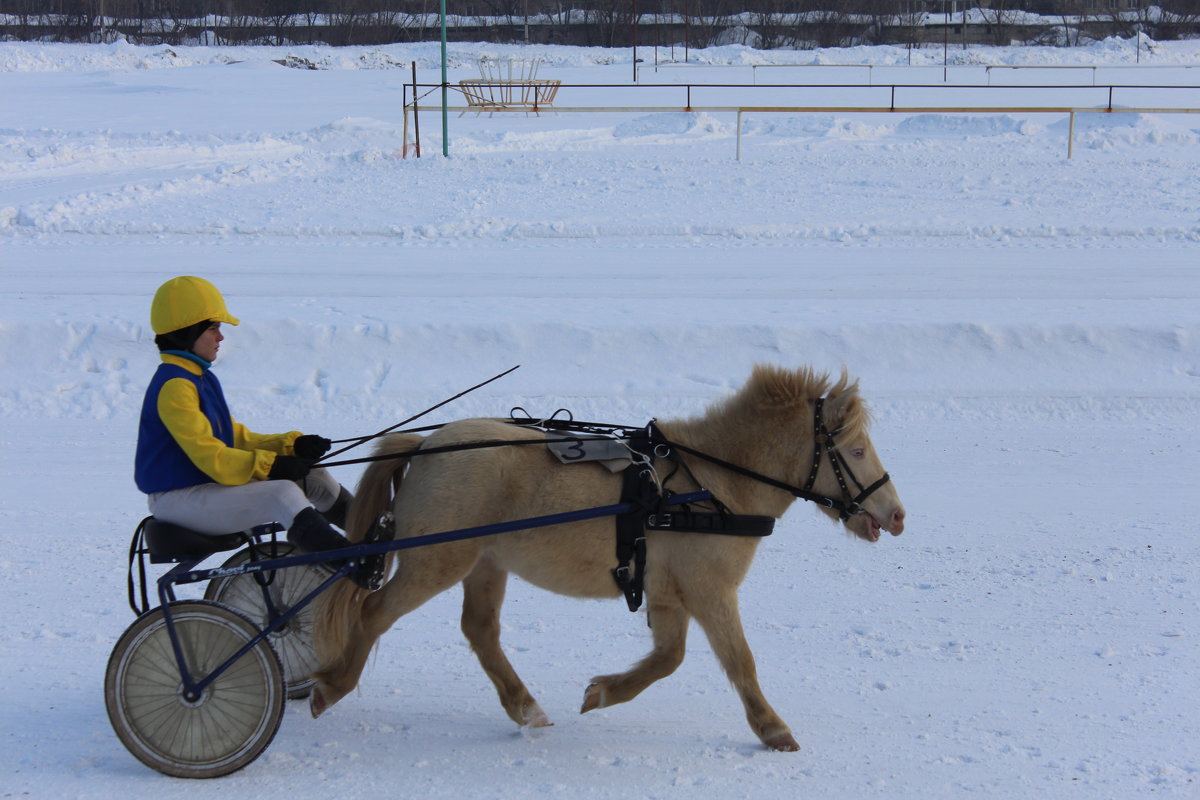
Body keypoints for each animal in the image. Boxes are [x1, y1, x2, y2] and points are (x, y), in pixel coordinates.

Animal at [307, 367, 902, 753]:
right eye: (854, 450)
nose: (896, 515)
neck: (708, 488)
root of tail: (427, 446)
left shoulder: (669, 594)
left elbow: (669, 658)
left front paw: (603, 692)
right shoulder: (711, 590)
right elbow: (740, 661)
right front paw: (773, 729)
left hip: (486, 562)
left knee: (479, 629)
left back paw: (525, 707)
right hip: (437, 559)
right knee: (374, 613)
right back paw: (330, 687)